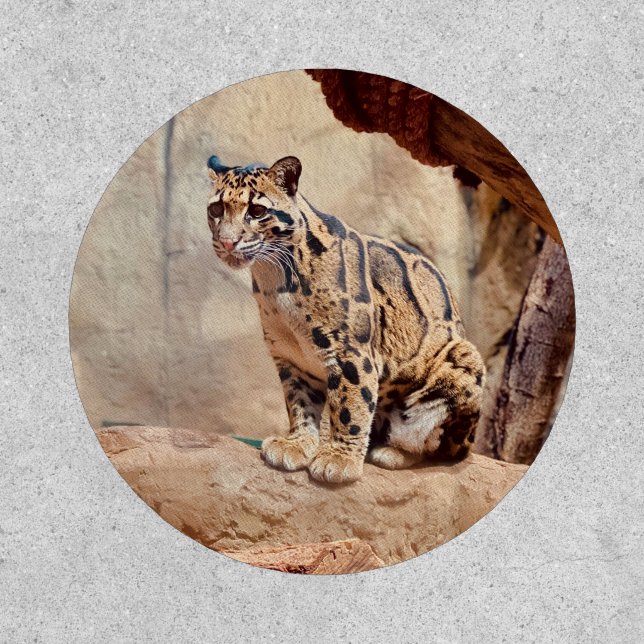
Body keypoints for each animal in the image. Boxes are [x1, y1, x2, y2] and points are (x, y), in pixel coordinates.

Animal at [206, 154, 486, 484]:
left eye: (257, 211)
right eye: (216, 209)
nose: (227, 242)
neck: (274, 278)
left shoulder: (350, 351)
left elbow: (350, 406)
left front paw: (338, 459)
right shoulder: (291, 358)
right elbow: (299, 403)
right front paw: (297, 444)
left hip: (463, 359)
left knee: (440, 447)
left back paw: (392, 452)